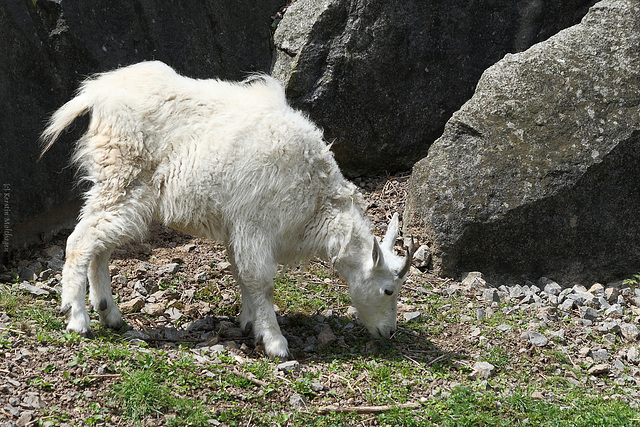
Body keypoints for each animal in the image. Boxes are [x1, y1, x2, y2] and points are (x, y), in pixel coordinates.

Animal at [40, 60, 412, 360]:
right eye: (389, 290)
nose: (390, 332)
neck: (316, 195)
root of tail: (97, 94)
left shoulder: (238, 227)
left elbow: (242, 275)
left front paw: (249, 323)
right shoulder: (255, 223)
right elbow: (261, 281)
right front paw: (275, 343)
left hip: (115, 186)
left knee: (98, 242)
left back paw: (109, 314)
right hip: (122, 178)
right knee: (80, 242)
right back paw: (78, 319)